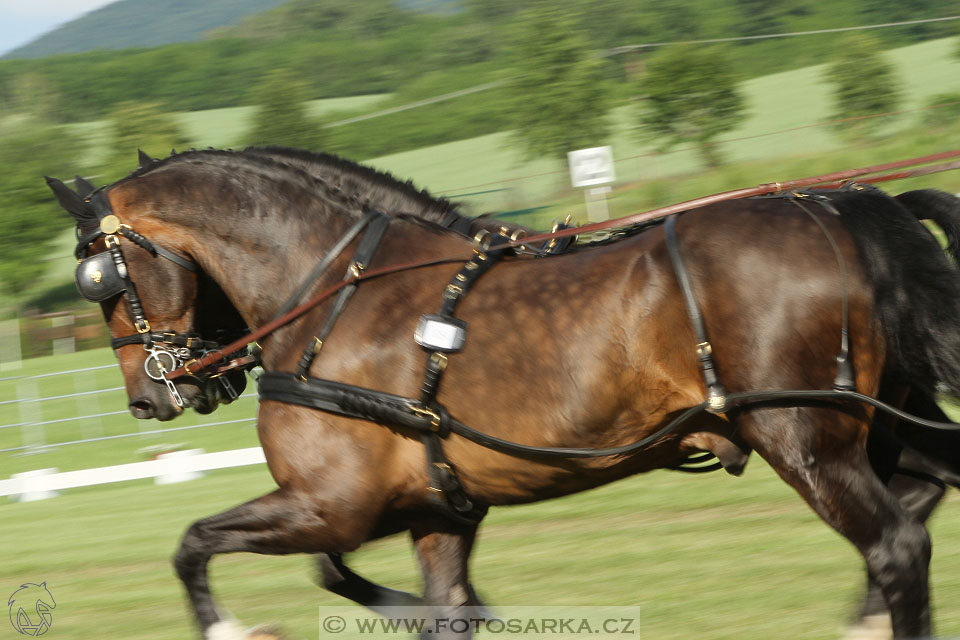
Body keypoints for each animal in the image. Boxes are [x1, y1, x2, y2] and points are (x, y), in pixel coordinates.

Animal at [47, 151, 960, 640]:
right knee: (922, 493)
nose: (149, 398)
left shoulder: (329, 503)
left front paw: (236, 625)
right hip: (882, 420)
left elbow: (197, 544)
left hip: (801, 433)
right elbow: (424, 600)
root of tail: (837, 209)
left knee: (894, 547)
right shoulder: (433, 510)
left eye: (100, 280)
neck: (334, 291)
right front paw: (434, 607)